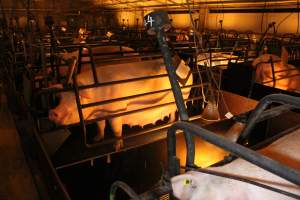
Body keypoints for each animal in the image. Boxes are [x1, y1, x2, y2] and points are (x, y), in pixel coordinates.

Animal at [49, 56, 193, 150]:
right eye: (61, 97)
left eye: (77, 97)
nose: (52, 112)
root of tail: (185, 65)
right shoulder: (99, 115)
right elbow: (100, 126)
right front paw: (97, 139)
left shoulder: (116, 112)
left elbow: (116, 129)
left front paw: (117, 147)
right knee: (172, 111)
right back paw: (169, 123)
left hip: (185, 96)